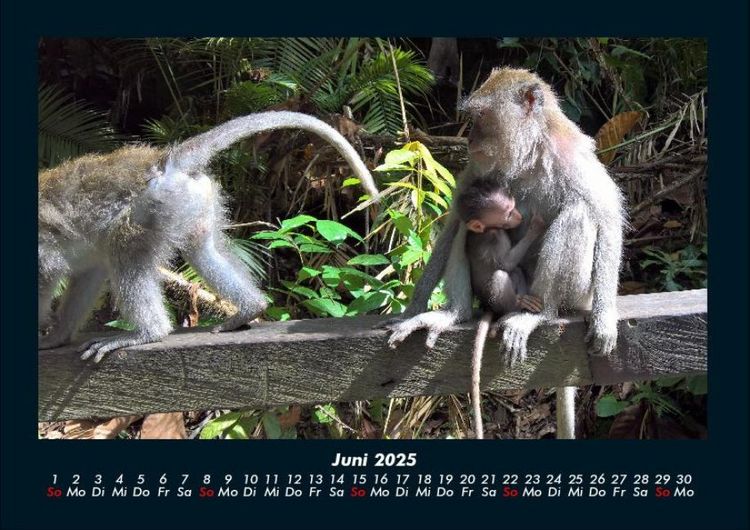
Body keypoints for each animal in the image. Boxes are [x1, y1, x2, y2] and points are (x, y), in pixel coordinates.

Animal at [38, 111, 380, 362]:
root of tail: (163, 160)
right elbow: (88, 272)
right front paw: (58, 336)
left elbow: (48, 276)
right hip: (189, 201)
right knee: (199, 249)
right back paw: (251, 306)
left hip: (154, 205)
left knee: (125, 249)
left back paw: (148, 333)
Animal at [455, 177, 544, 438]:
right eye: (507, 212)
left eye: (513, 207)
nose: (519, 216)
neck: (487, 229)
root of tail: (488, 305)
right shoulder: (494, 235)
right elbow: (504, 263)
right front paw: (535, 228)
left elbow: (513, 266)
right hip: (496, 299)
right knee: (501, 274)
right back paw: (516, 306)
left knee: (515, 272)